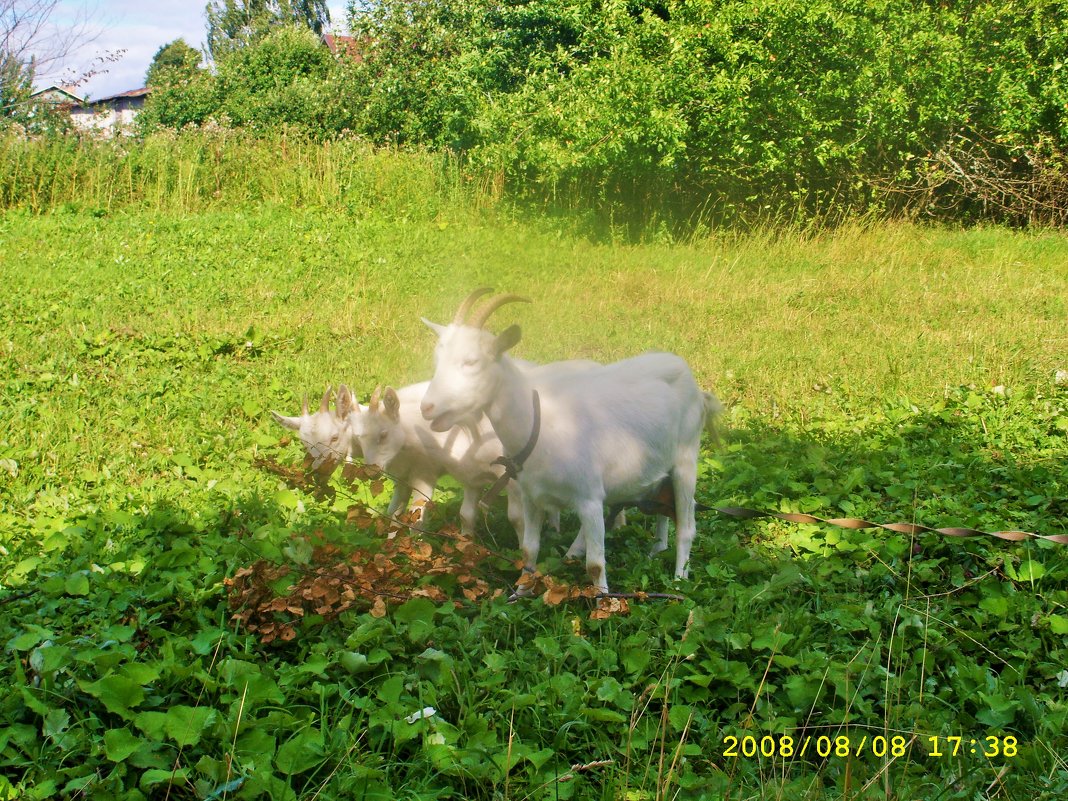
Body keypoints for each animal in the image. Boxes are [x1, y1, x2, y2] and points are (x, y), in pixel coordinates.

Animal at [416, 288, 717, 598]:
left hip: (686, 456)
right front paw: (519, 593)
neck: (539, 424)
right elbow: (529, 549)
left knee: (687, 524)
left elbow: (595, 563)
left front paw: (604, 602)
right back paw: (653, 548)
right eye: (437, 361)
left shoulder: (589, 498)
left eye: (472, 361)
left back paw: (679, 580)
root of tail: (692, 382)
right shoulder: (532, 496)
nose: (427, 407)